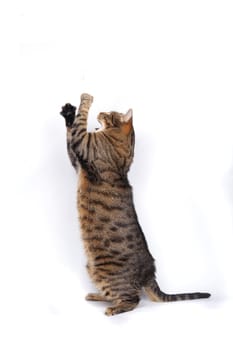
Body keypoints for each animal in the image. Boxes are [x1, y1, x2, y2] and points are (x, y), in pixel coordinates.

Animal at [60, 93, 211, 318]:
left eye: (109, 113)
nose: (101, 112)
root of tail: (150, 274)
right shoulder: (78, 160)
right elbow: (71, 133)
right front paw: (68, 112)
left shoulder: (84, 145)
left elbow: (80, 122)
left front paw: (85, 100)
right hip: (93, 268)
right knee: (116, 294)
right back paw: (96, 296)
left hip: (107, 272)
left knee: (132, 299)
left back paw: (113, 309)